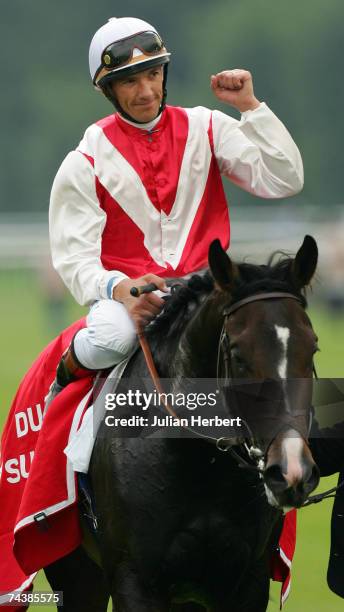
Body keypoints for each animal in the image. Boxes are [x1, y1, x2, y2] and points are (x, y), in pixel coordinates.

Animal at [45, 235, 320, 612]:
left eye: (313, 349)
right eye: (238, 354)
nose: (292, 469)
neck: (201, 463)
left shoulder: (247, 580)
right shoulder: (134, 579)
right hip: (75, 572)